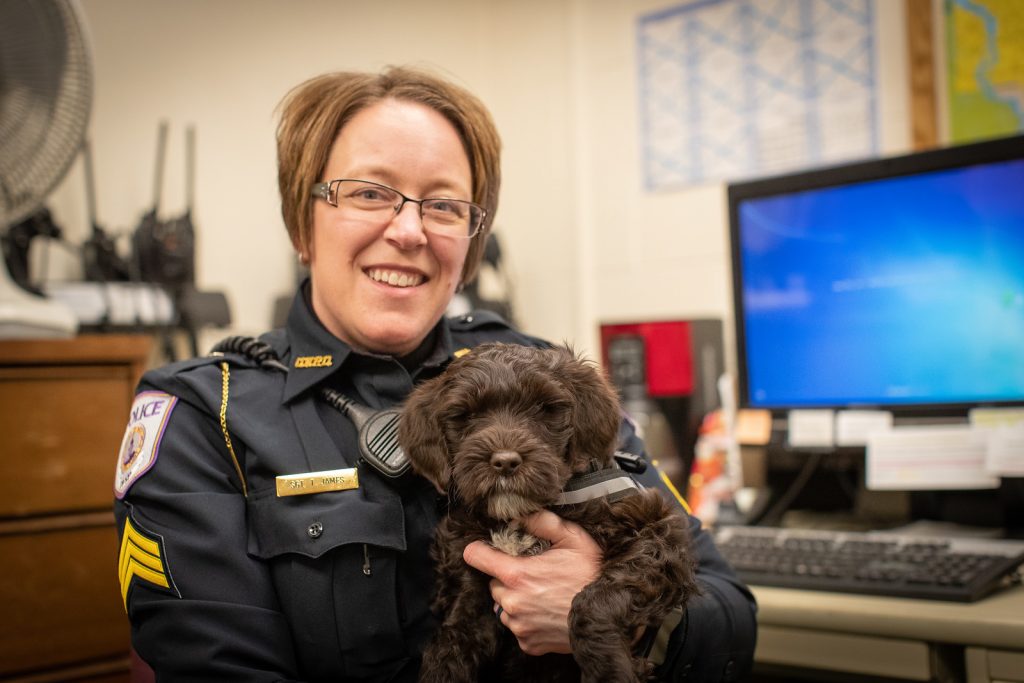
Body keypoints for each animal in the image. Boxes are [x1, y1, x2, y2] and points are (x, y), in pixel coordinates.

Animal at [397, 344, 696, 679]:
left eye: (544, 408)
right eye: (467, 414)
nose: (505, 462)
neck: (517, 514)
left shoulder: (655, 533)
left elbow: (594, 602)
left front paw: (608, 667)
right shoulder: (464, 570)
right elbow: (453, 641)